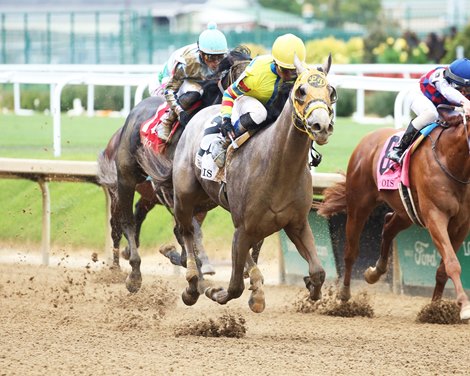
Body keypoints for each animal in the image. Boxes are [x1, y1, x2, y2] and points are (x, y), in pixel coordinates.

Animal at [145, 55, 336, 312]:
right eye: (301, 91)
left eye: (331, 91)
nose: (321, 126)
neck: (279, 167)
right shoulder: (243, 227)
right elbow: (234, 286)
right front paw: (218, 292)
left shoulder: (296, 224)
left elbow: (318, 271)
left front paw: (311, 288)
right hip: (185, 196)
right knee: (186, 232)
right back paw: (193, 284)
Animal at [316, 106, 470, 320]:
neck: (452, 162)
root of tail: (368, 138)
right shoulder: (435, 216)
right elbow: (452, 262)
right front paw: (464, 306)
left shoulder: (462, 223)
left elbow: (443, 268)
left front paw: (435, 309)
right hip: (359, 205)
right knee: (350, 251)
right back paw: (344, 296)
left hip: (406, 212)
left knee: (388, 226)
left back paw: (375, 272)